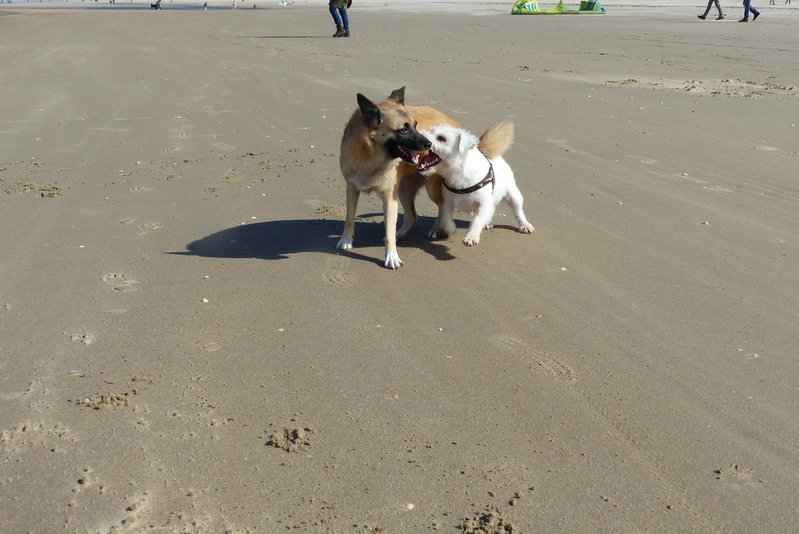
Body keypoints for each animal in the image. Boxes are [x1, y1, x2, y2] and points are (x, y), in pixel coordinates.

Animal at [336, 90, 460, 272]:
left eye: (415, 125)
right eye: (403, 130)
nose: (429, 144)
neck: (371, 156)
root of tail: (454, 123)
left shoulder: (389, 199)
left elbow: (388, 232)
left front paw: (392, 257)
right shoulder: (352, 189)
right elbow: (349, 217)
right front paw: (346, 239)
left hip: (430, 188)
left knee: (442, 206)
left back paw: (437, 229)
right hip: (403, 190)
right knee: (412, 216)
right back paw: (400, 234)